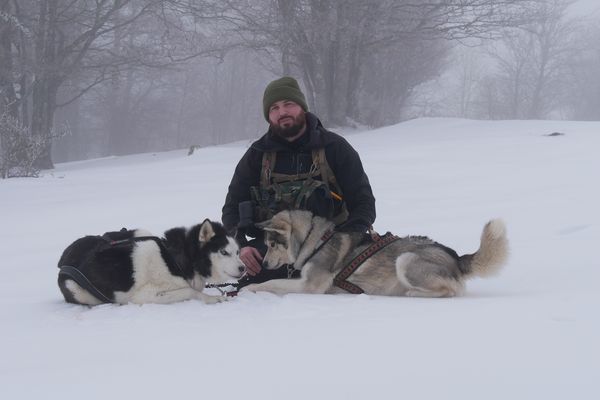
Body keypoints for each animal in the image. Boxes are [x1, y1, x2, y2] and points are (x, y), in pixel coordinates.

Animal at [56, 220, 244, 304]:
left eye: (237, 252)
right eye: (224, 252)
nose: (243, 268)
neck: (173, 259)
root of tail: (64, 256)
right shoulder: (144, 296)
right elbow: (190, 292)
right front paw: (212, 298)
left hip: (140, 231)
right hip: (78, 290)